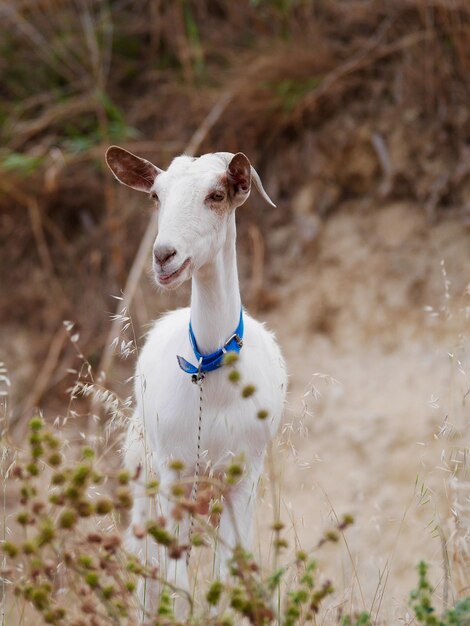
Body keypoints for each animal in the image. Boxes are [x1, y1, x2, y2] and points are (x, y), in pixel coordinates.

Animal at [105, 145, 286, 608]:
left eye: (217, 194)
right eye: (156, 196)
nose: (163, 255)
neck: (210, 372)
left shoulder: (242, 477)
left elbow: (228, 579)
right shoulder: (175, 472)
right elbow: (177, 582)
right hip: (142, 474)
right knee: (146, 571)